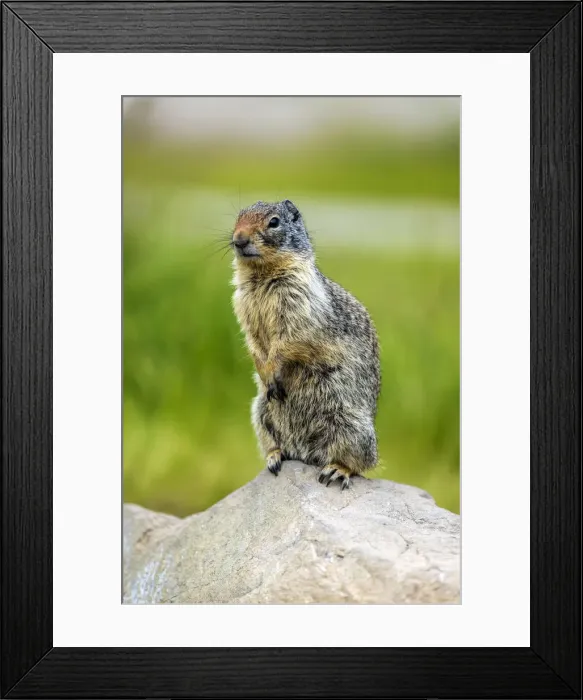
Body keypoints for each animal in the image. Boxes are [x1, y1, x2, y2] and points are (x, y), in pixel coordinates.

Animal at [231, 199, 380, 490]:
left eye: (274, 222)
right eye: (238, 217)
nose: (238, 239)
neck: (261, 276)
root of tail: (306, 454)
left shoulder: (300, 305)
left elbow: (289, 340)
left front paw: (273, 369)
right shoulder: (242, 305)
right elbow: (253, 341)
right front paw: (264, 371)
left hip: (351, 425)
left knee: (361, 463)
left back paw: (337, 470)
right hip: (260, 411)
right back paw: (275, 456)